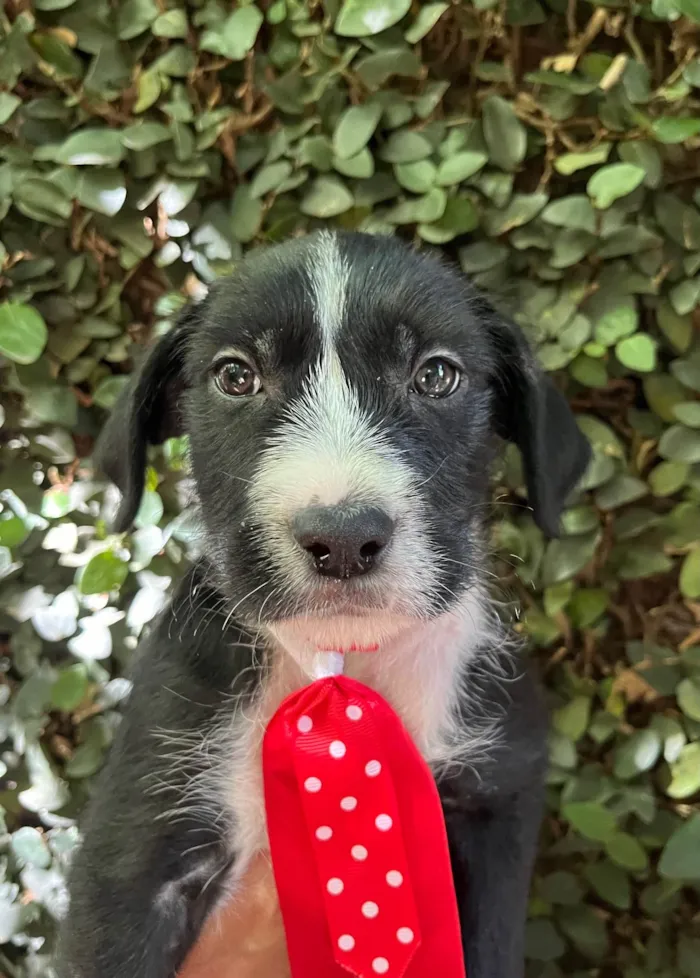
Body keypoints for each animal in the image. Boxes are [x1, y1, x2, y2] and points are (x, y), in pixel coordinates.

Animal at [56, 231, 592, 976]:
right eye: (235, 376)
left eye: (436, 375)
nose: (342, 539)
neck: (343, 660)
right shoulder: (132, 861)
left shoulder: (493, 818)